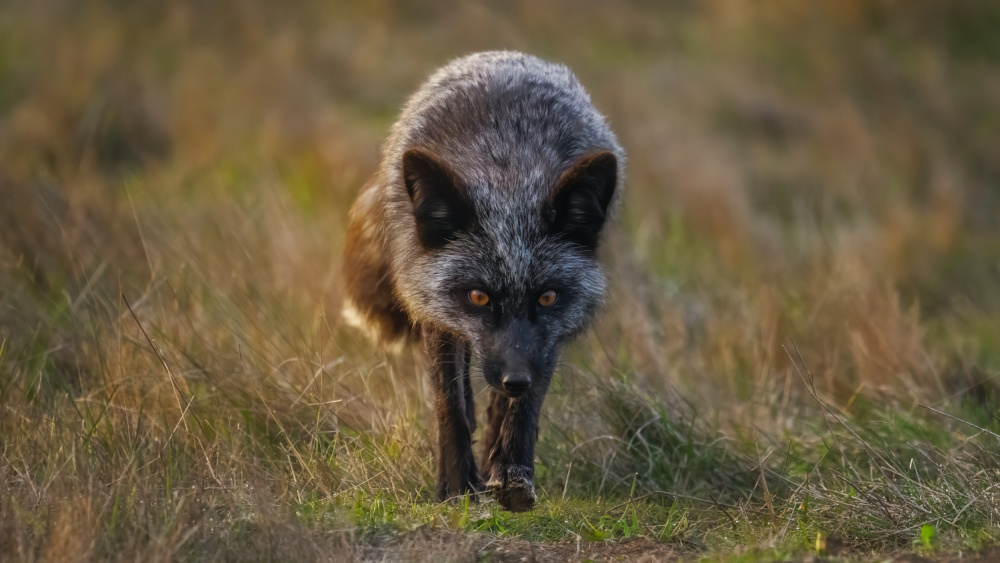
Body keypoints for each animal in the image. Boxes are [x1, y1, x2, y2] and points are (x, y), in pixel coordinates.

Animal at [344, 50, 624, 512]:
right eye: (478, 296)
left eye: (547, 297)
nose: (515, 378)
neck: (508, 170)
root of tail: (503, 57)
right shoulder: (435, 313)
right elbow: (450, 406)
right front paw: (457, 487)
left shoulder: (547, 341)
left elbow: (524, 409)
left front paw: (511, 472)